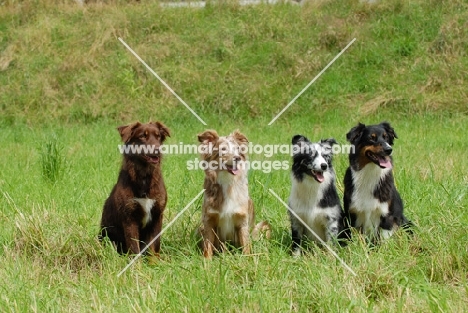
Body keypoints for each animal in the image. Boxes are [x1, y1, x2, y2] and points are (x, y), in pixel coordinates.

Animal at [98, 120, 170, 256]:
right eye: (142, 136)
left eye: (158, 136)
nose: (157, 150)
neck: (144, 177)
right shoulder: (129, 218)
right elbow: (134, 248)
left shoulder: (157, 215)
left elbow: (154, 247)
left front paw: (155, 261)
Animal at [197, 128, 270, 258]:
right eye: (223, 149)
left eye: (237, 149)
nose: (237, 158)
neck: (228, 182)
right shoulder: (209, 220)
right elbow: (208, 246)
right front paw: (207, 261)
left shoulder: (242, 221)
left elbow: (246, 246)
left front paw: (247, 259)